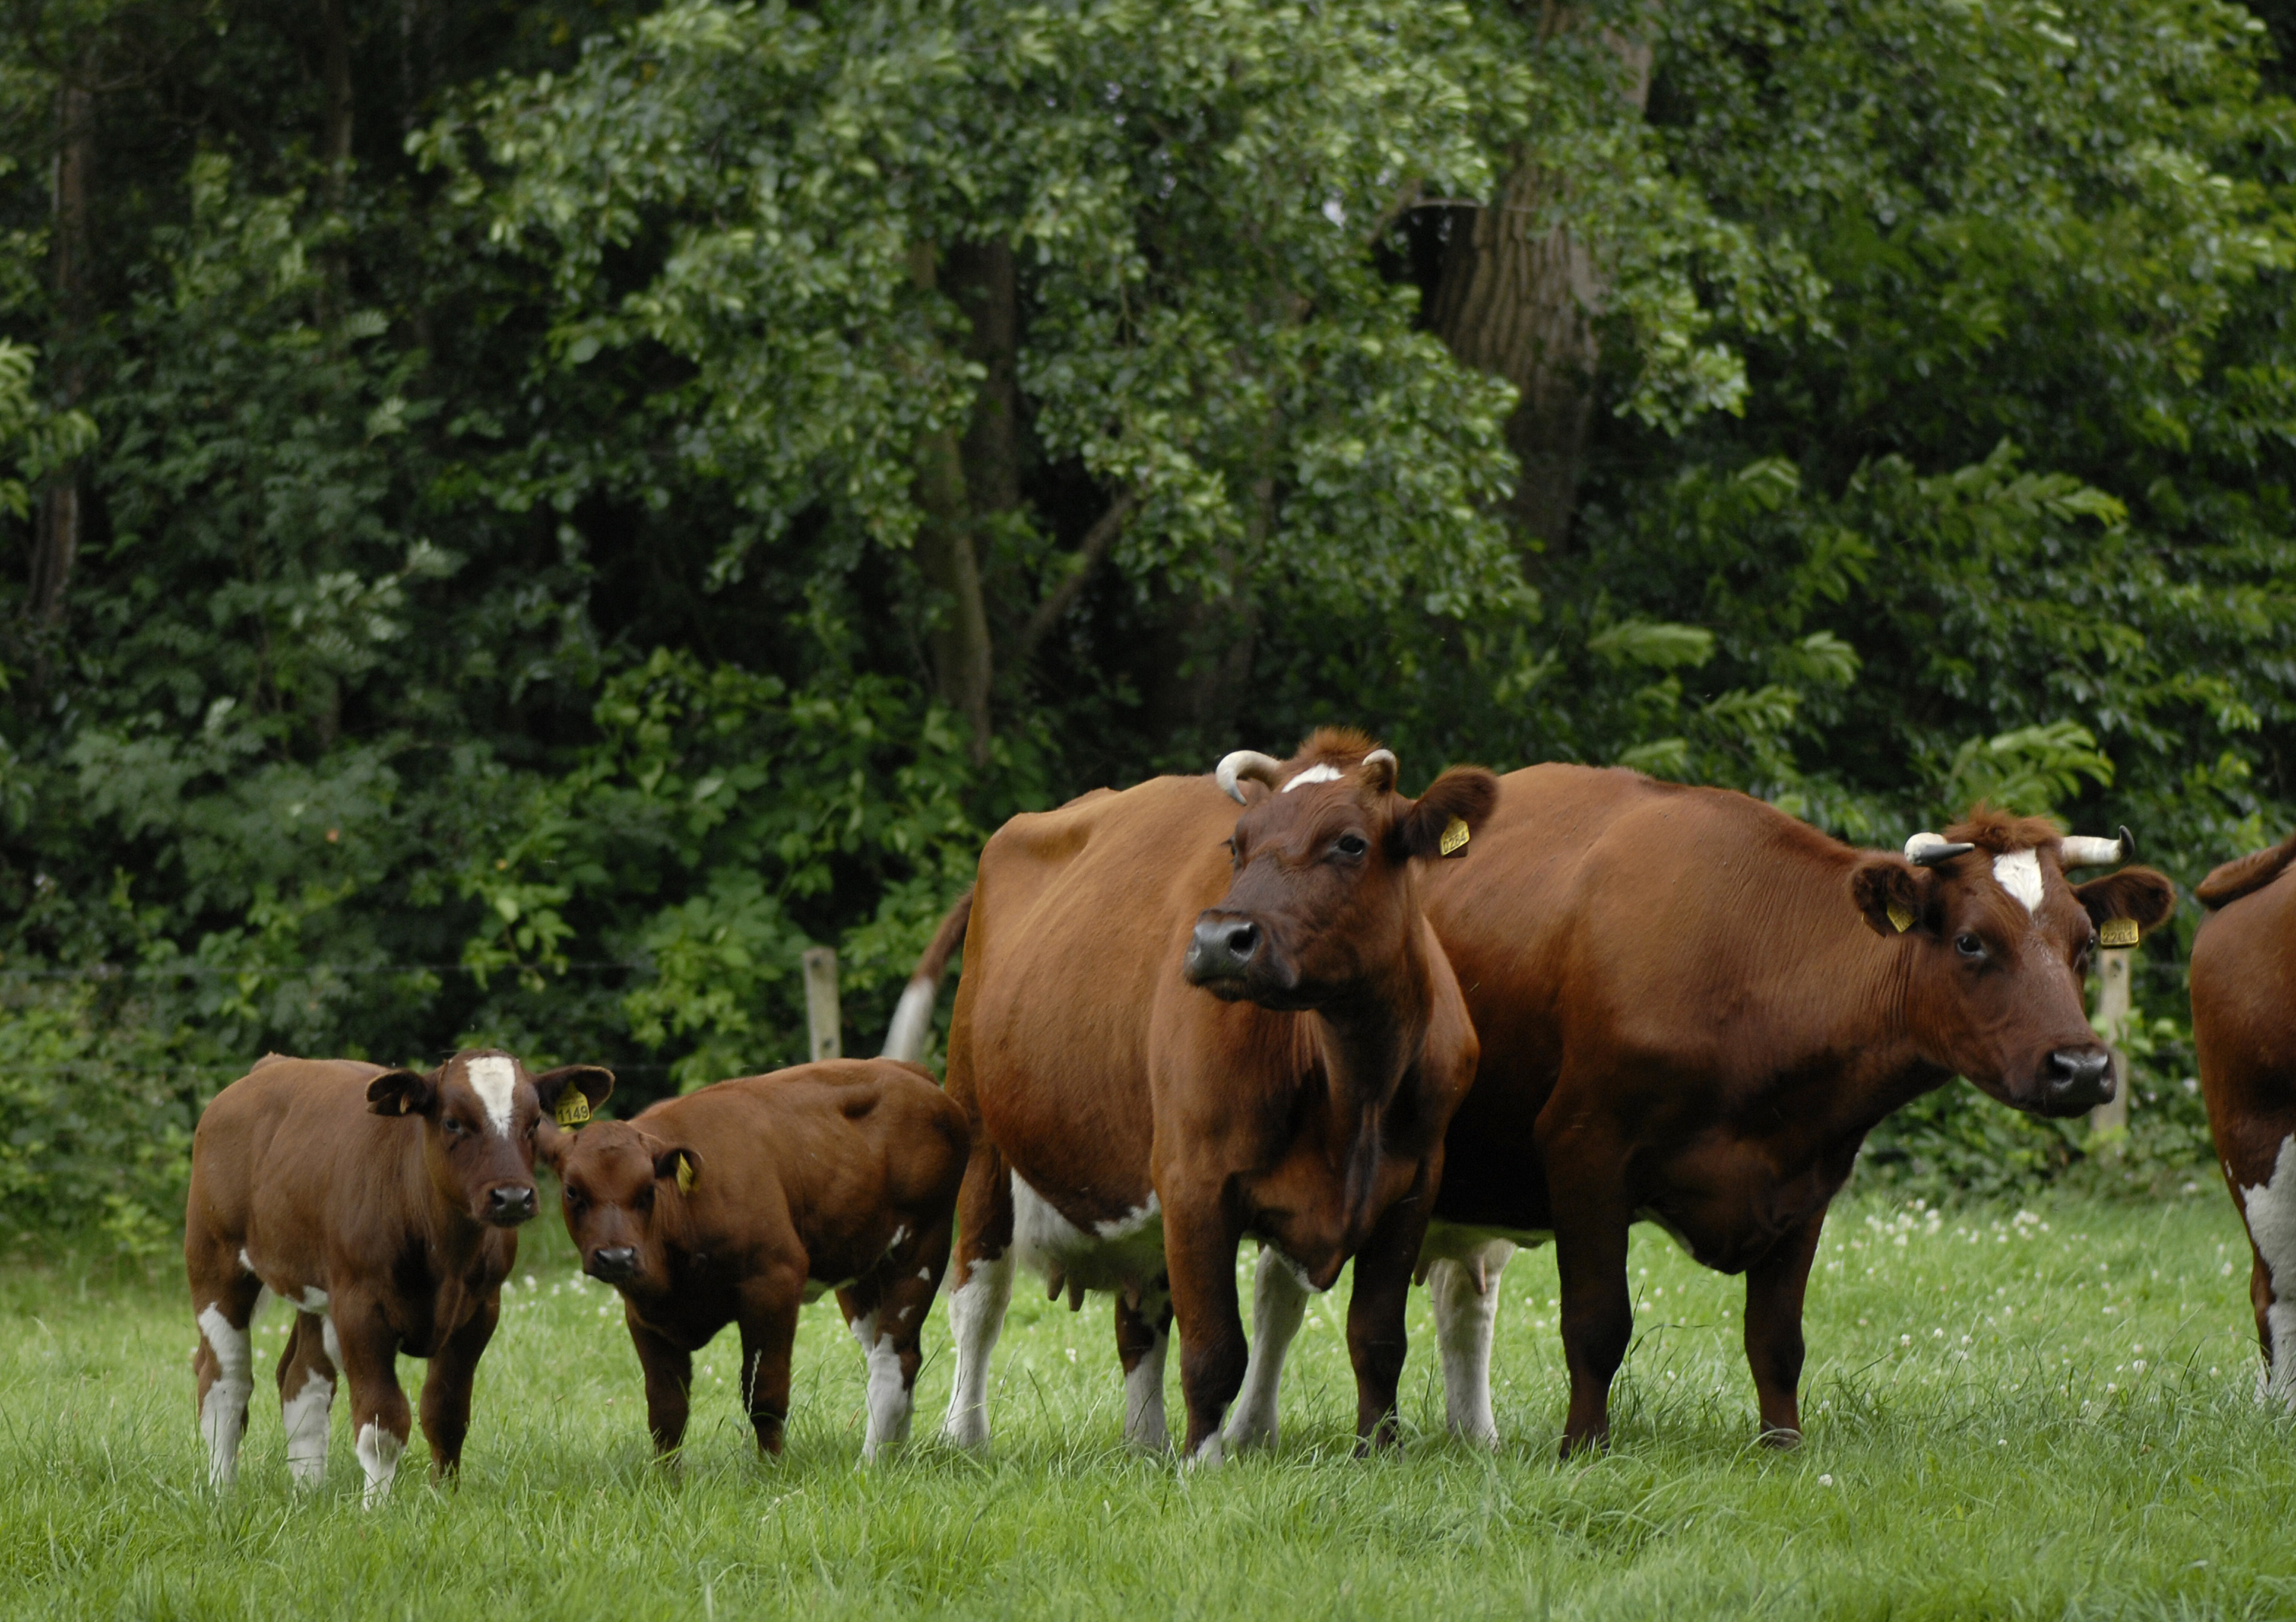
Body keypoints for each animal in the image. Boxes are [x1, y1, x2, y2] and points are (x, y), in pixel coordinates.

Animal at [188, 1047, 615, 1488]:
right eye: (452, 1122)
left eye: (534, 1123)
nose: (512, 1196)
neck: (445, 1253)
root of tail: (273, 1064)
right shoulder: (361, 1310)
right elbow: (382, 1422)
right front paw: (378, 1504)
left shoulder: (480, 1311)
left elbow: (446, 1414)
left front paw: (445, 1496)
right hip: (214, 1263)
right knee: (226, 1382)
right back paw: (222, 1491)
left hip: (314, 1287)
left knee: (302, 1380)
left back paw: (310, 1492)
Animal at [546, 1056, 969, 1461]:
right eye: (571, 1190)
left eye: (648, 1189)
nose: (616, 1256)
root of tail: (910, 1071)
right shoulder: (645, 1314)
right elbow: (667, 1412)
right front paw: (667, 1481)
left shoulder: (774, 1283)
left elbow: (764, 1396)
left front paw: (770, 1472)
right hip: (863, 1266)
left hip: (923, 1245)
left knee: (894, 1359)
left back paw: (871, 1463)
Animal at [923, 726, 1497, 1461]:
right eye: (1237, 844)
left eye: (1350, 842)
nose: (1219, 941)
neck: (1354, 1080)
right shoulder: (1195, 1181)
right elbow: (1215, 1347)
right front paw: (1205, 1461)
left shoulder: (1412, 1187)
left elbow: (1376, 1338)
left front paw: (1377, 1450)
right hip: (978, 1132)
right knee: (979, 1300)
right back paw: (964, 1435)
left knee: (1140, 1316)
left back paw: (1145, 1443)